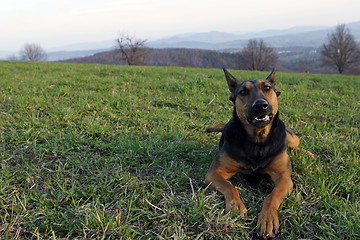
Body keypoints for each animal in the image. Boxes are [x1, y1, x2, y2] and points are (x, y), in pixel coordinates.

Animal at [205, 68, 312, 239]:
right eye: (243, 91)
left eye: (267, 88)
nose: (260, 105)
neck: (258, 141)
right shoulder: (214, 174)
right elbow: (230, 186)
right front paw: (236, 206)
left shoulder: (284, 178)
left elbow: (271, 196)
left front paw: (268, 219)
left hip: (291, 137)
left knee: (294, 145)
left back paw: (307, 153)